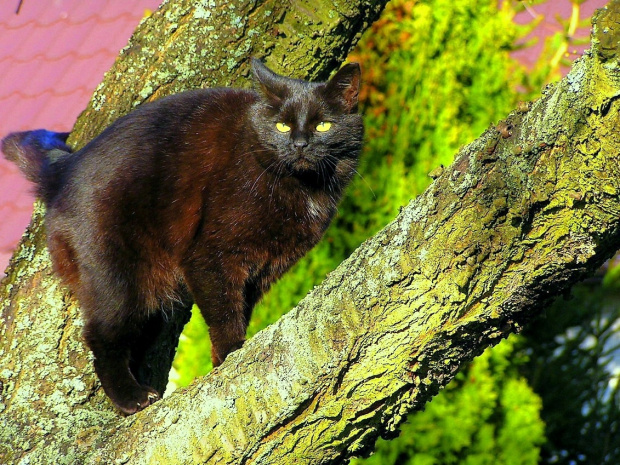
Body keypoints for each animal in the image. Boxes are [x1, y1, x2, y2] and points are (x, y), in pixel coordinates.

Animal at [2, 59, 364, 414]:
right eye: (282, 127)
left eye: (323, 126)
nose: (300, 144)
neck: (304, 187)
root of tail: (62, 170)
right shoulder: (210, 255)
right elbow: (224, 312)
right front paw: (230, 354)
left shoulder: (265, 269)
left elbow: (241, 308)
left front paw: (222, 358)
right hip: (115, 277)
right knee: (100, 335)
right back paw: (131, 397)